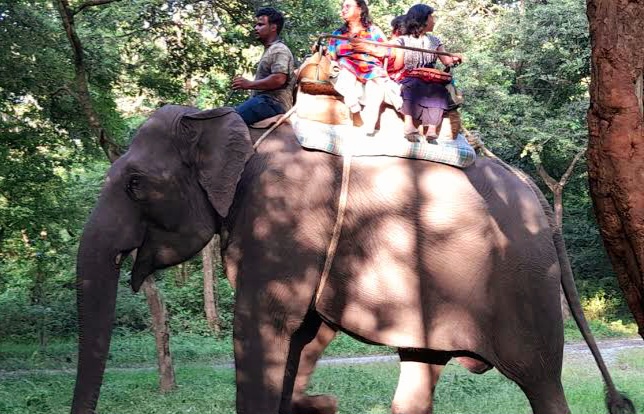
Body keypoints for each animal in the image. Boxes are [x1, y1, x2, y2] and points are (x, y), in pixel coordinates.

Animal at [71, 104, 632, 414]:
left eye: (135, 183)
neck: (237, 127)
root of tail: (537, 193)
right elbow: (305, 333)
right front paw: (316, 404)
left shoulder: (288, 214)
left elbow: (266, 325)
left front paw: (315, 402)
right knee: (420, 371)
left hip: (524, 284)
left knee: (540, 381)